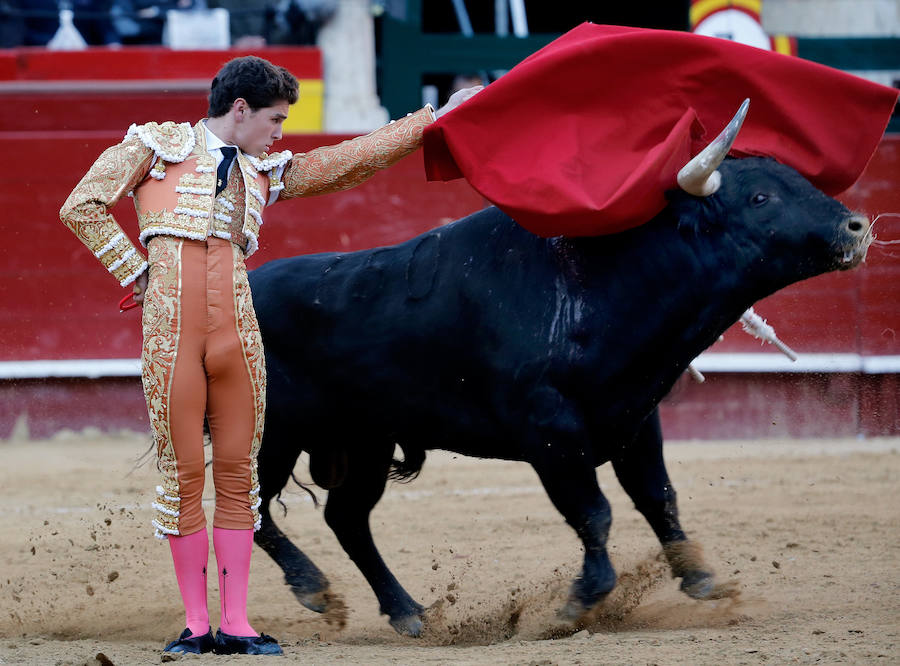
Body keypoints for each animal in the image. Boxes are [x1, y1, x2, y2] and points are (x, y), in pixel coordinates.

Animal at [246, 156, 872, 632]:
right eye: (762, 197)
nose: (856, 227)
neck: (594, 287)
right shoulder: (550, 433)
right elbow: (594, 512)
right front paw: (579, 602)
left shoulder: (634, 418)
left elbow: (658, 496)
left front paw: (700, 578)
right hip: (270, 439)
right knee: (254, 510)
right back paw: (314, 589)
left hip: (365, 442)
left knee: (347, 518)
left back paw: (408, 613)